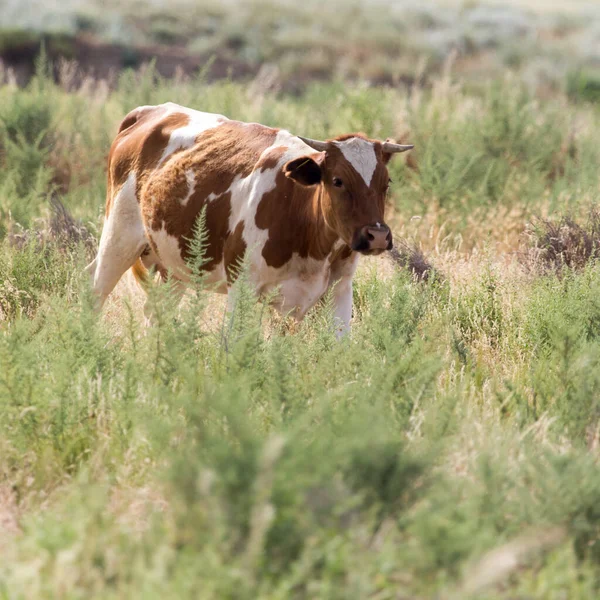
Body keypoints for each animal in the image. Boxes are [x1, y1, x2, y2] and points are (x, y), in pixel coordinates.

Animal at [85, 103, 412, 338]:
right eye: (338, 181)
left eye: (386, 182)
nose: (377, 235)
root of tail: (148, 111)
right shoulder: (242, 287)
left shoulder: (339, 291)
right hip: (119, 237)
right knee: (95, 292)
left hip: (173, 265)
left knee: (155, 314)